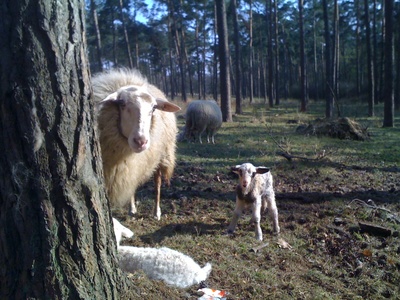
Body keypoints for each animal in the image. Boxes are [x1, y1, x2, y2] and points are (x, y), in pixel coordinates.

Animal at [92, 69, 180, 219]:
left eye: (154, 108)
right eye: (121, 103)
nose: (141, 141)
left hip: (161, 155)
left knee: (157, 182)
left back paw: (156, 212)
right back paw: (132, 209)